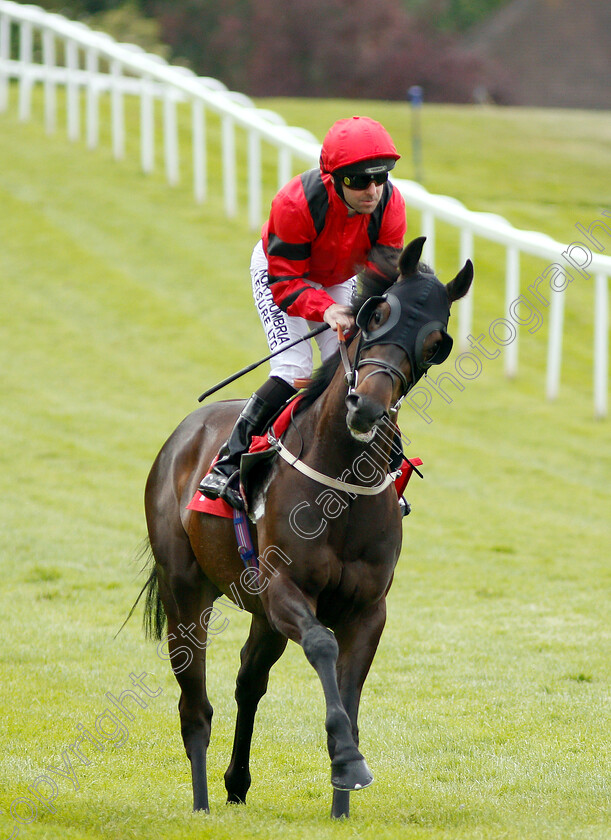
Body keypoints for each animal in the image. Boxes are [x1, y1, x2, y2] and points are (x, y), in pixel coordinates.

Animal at [140, 235, 474, 812]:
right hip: (185, 590)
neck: (341, 483)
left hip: (258, 614)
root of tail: (183, 434)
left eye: (436, 343)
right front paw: (347, 763)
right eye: (376, 313)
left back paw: (236, 784)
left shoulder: (368, 609)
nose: (367, 407)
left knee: (248, 680)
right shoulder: (283, 587)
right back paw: (201, 802)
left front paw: (344, 786)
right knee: (195, 706)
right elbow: (322, 645)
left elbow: (349, 694)